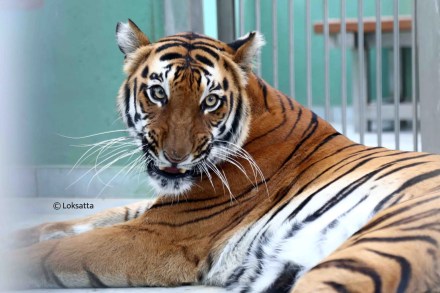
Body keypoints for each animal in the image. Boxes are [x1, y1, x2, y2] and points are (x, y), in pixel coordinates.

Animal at [6, 19, 440, 290]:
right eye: (158, 92)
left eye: (210, 101)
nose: (175, 157)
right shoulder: (157, 210)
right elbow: (75, 221)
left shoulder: (159, 234)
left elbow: (50, 252)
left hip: (376, 249)